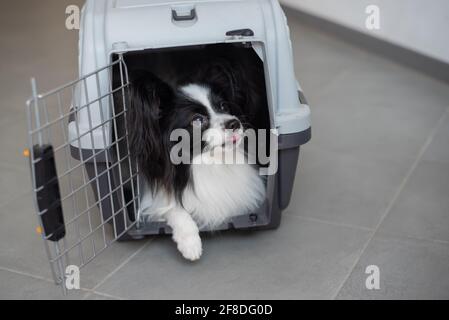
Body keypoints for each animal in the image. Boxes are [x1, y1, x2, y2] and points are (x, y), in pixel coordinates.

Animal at [126, 50, 266, 260]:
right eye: (197, 120)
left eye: (223, 106)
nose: (234, 123)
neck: (209, 162)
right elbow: (174, 206)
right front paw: (190, 243)